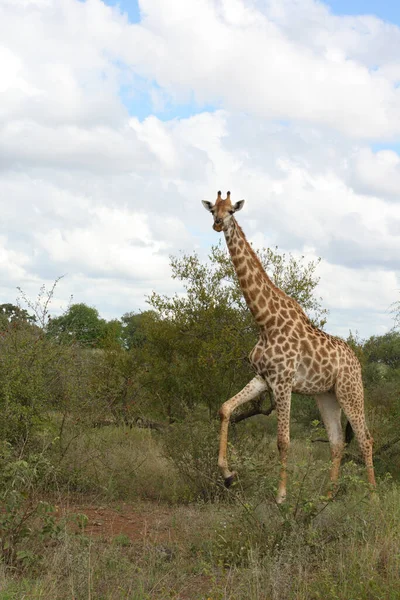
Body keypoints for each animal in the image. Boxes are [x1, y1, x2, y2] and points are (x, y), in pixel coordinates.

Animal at [202, 192, 376, 502]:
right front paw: (227, 474)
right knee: (337, 442)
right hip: (326, 395)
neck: (264, 321)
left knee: (366, 440)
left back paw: (373, 498)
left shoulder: (283, 382)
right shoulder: (263, 378)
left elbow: (283, 440)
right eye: (213, 210)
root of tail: (357, 360)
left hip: (351, 391)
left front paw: (281, 496)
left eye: (232, 210)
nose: (218, 224)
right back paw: (326, 497)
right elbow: (224, 408)